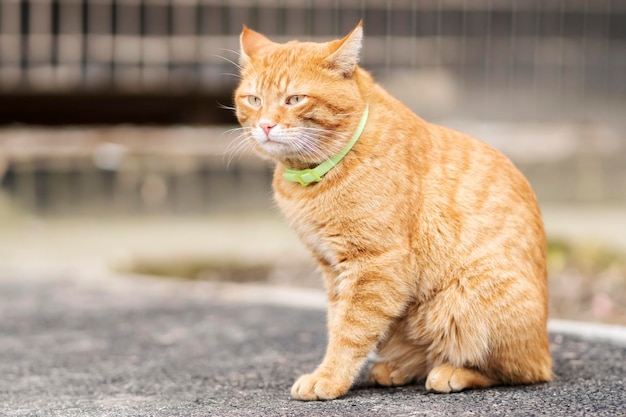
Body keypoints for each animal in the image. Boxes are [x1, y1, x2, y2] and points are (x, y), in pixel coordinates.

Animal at [234, 22, 552, 400]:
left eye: (295, 99)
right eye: (254, 100)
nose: (266, 125)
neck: (312, 178)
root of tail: (545, 346)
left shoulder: (375, 264)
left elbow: (350, 330)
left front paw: (330, 378)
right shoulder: (333, 269)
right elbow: (337, 321)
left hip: (465, 299)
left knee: (520, 371)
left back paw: (452, 372)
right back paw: (399, 368)